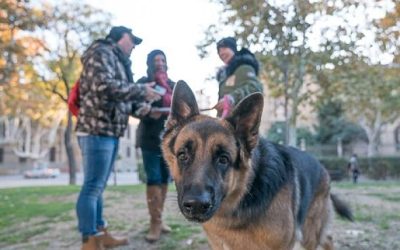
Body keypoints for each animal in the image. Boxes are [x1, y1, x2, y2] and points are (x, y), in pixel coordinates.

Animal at [161, 81, 352, 249]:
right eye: (183, 155)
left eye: (223, 159)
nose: (196, 205)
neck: (246, 193)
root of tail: (322, 166)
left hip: (309, 233)